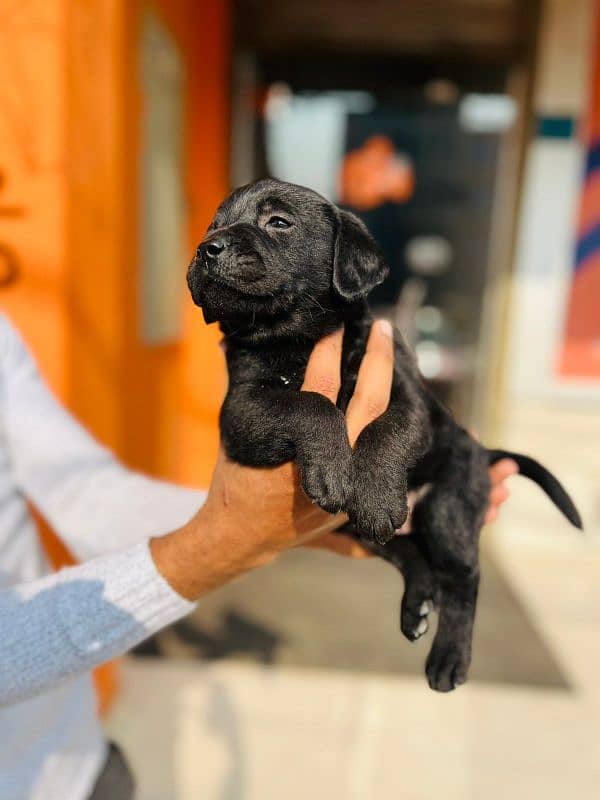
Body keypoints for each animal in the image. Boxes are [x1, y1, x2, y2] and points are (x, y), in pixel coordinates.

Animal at [188, 178, 580, 692]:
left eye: (278, 222)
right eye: (212, 225)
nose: (206, 248)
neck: (296, 340)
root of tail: (481, 452)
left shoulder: (410, 398)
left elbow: (382, 427)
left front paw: (370, 492)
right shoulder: (241, 411)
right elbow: (309, 403)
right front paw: (334, 471)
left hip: (448, 504)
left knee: (463, 577)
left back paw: (449, 658)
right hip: (376, 532)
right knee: (409, 552)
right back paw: (416, 605)